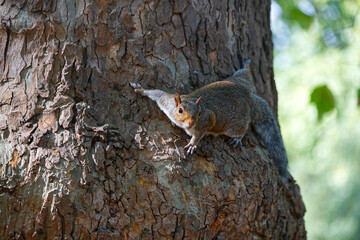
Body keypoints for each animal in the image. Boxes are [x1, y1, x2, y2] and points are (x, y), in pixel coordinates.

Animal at [131, 59, 292, 181]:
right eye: (180, 110)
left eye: (199, 113)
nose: (191, 123)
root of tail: (248, 98)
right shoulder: (167, 102)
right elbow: (157, 94)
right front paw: (141, 90)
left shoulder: (207, 120)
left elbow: (200, 133)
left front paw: (192, 144)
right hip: (237, 79)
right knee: (245, 75)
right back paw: (246, 66)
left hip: (235, 125)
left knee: (243, 128)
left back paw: (237, 139)